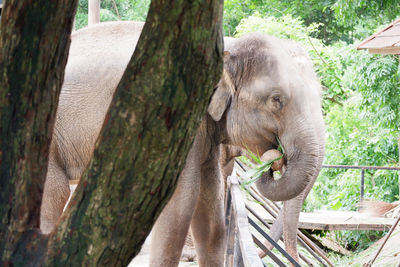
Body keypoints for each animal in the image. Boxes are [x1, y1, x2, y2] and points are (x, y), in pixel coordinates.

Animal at [39, 21, 324, 267]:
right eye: (276, 100)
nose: (274, 161)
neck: (228, 46)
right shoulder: (179, 120)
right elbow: (179, 207)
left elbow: (211, 216)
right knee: (54, 194)